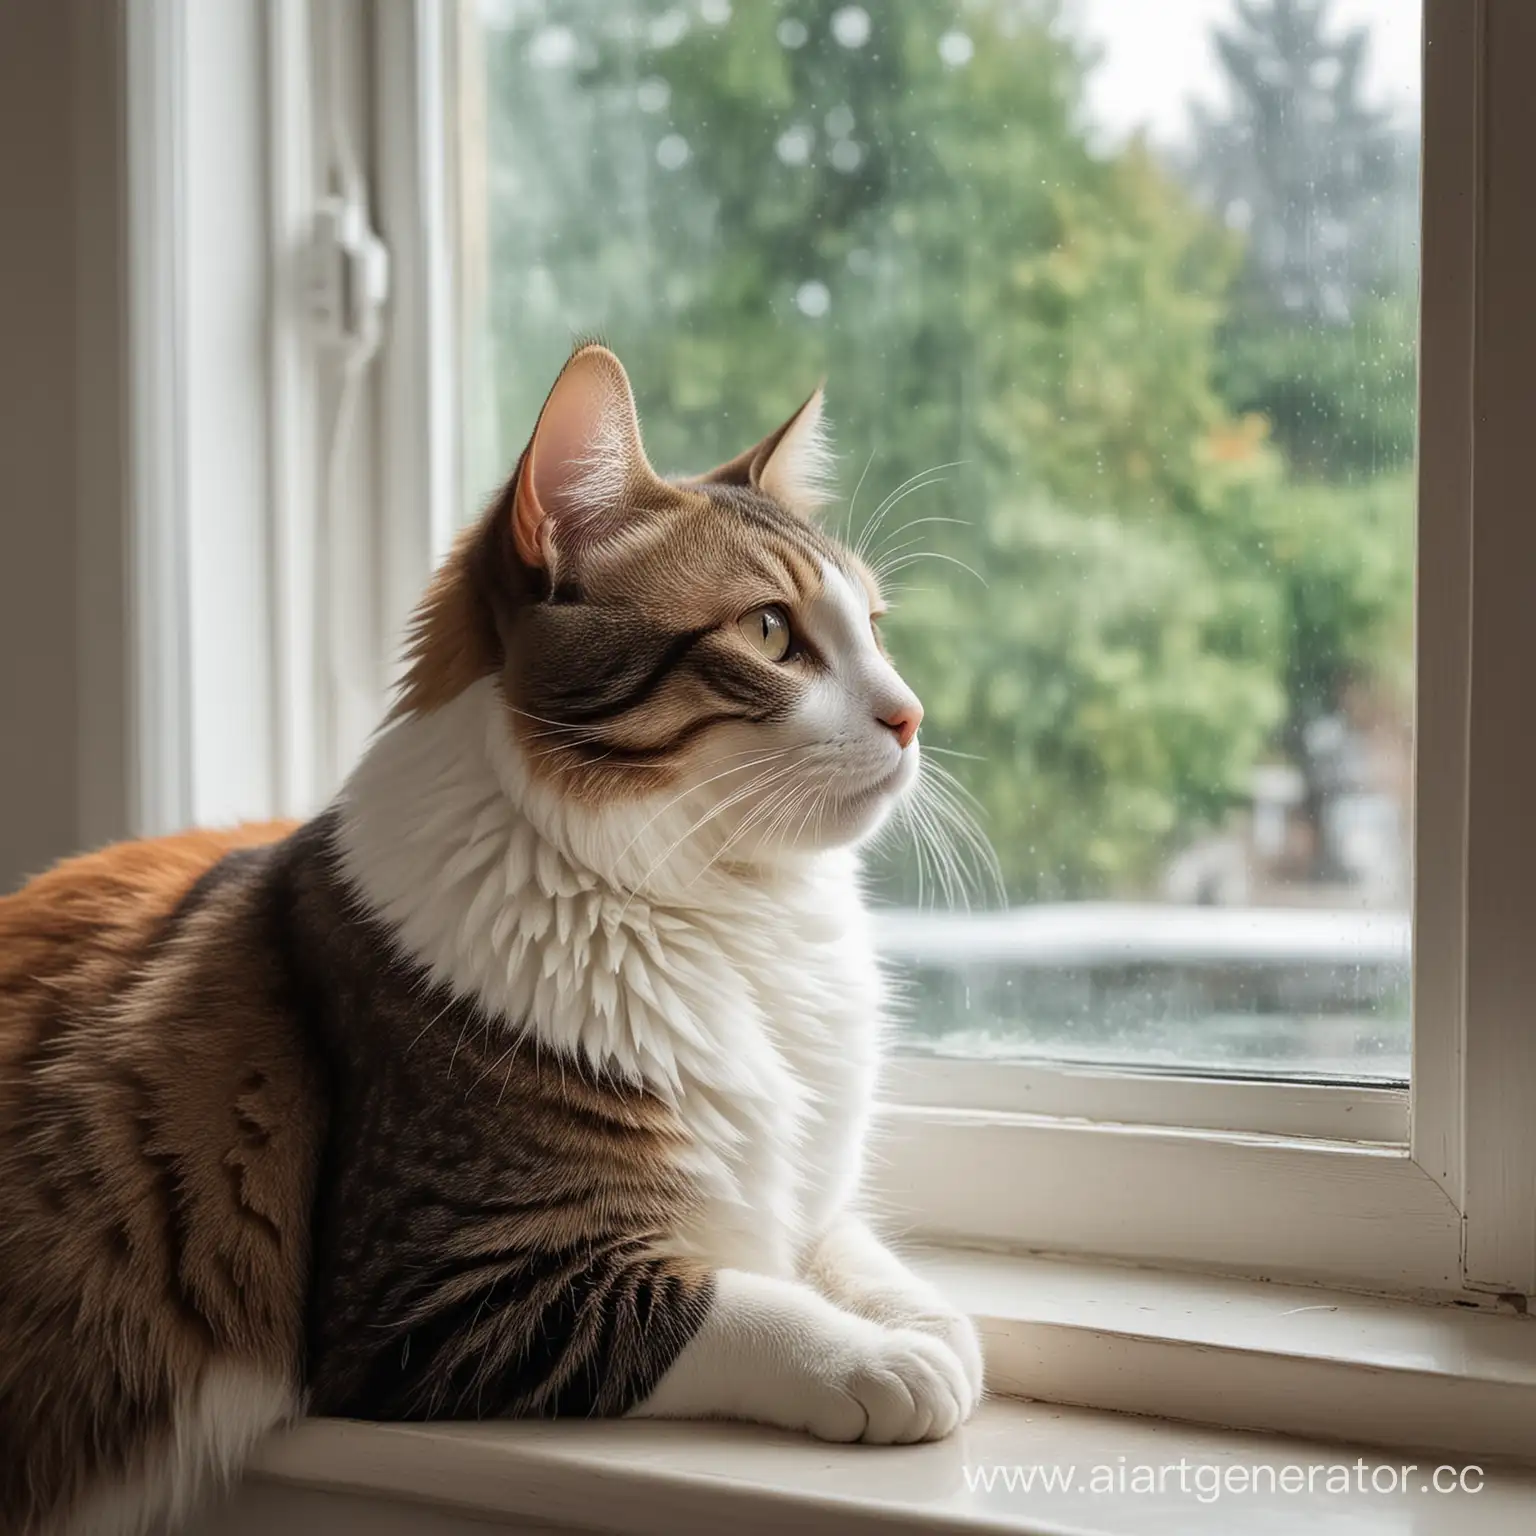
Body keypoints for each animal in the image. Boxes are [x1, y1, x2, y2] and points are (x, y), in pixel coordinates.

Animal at [0, 348, 983, 1536]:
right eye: (768, 633)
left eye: (875, 630)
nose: (912, 714)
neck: (733, 919)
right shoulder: (439, 1292)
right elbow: (729, 1302)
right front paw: (873, 1361)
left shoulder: (795, 1189)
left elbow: (840, 1244)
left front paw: (922, 1320)